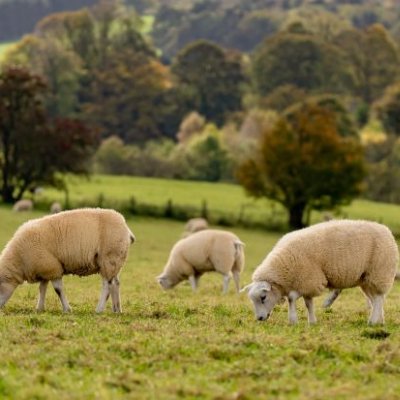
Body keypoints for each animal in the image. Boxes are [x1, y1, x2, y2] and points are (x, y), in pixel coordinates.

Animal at [0, 208, 135, 314]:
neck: (19, 260)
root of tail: (126, 229)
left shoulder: (53, 268)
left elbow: (58, 290)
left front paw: (67, 309)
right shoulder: (45, 268)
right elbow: (42, 288)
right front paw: (40, 308)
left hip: (108, 258)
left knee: (107, 285)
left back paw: (99, 309)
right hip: (115, 260)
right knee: (116, 283)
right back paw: (117, 309)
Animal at [242, 219, 398, 324]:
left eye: (263, 297)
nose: (259, 318)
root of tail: (387, 230)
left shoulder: (310, 279)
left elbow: (292, 298)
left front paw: (293, 320)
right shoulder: (306, 282)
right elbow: (308, 303)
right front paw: (312, 322)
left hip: (379, 273)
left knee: (378, 298)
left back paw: (372, 321)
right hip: (366, 279)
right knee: (376, 299)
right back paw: (380, 321)